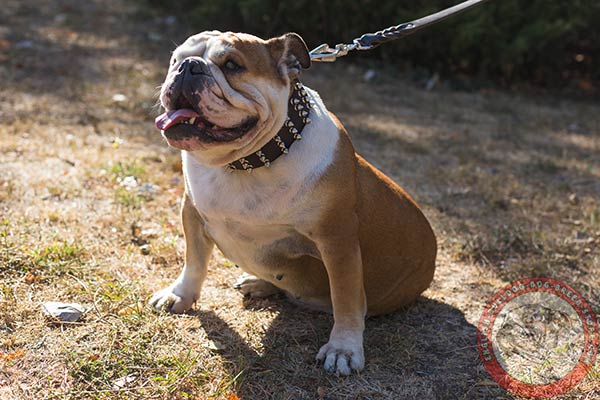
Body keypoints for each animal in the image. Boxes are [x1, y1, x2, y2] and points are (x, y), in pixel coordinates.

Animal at [150, 32, 436, 376]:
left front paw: (343, 347)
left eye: (232, 65)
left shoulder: (338, 243)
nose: (188, 67)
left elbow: (346, 298)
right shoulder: (192, 213)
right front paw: (179, 295)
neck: (247, 162)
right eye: (175, 60)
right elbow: (193, 263)